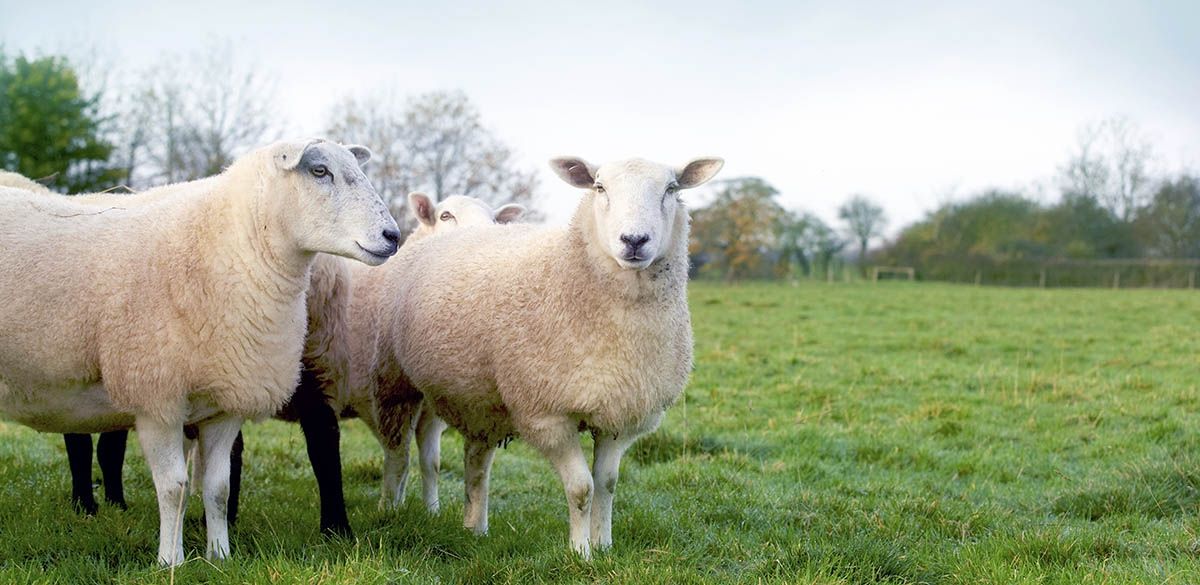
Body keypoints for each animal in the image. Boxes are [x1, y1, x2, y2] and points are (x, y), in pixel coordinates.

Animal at [0, 139, 400, 565]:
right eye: (319, 171)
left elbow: (217, 487)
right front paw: (169, 561)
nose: (392, 235)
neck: (229, 245)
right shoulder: (157, 397)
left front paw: (220, 556)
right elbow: (174, 487)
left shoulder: (224, 401)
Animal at [361, 156, 723, 556]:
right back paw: (389, 509)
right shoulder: (547, 415)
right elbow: (582, 488)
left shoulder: (620, 413)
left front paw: (604, 545)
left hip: (479, 397)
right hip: (395, 379)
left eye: (671, 189)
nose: (634, 240)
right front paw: (581, 554)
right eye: (599, 187)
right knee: (397, 453)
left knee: (476, 461)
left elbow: (607, 483)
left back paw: (475, 527)